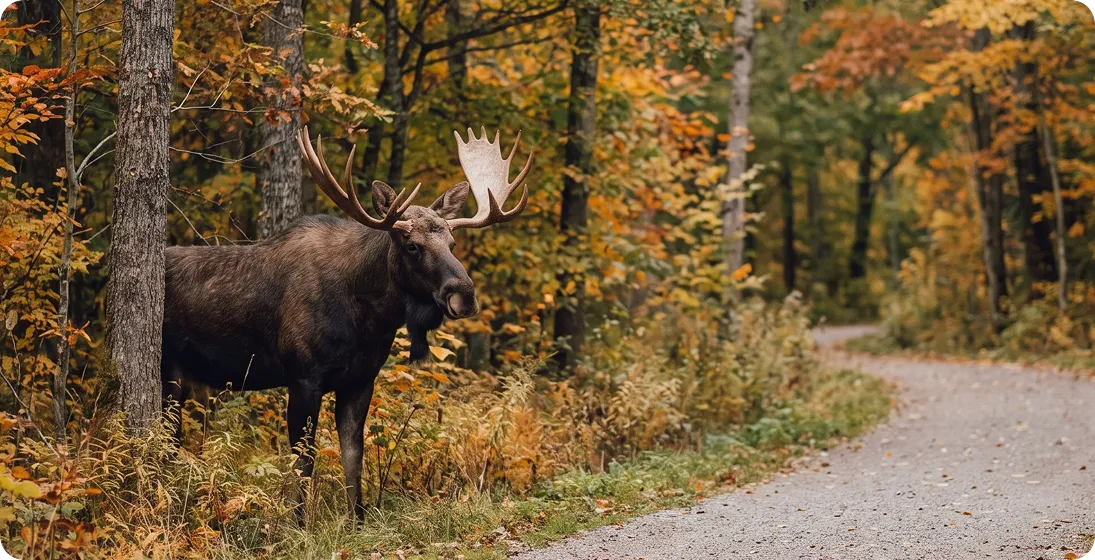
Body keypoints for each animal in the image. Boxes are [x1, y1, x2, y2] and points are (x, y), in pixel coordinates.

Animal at [161, 126, 533, 521]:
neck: (368, 319)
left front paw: (357, 518)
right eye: (412, 245)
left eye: (452, 242)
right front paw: (298, 523)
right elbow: (303, 460)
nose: (464, 295)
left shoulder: (361, 379)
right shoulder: (303, 376)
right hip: (169, 370)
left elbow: (353, 454)